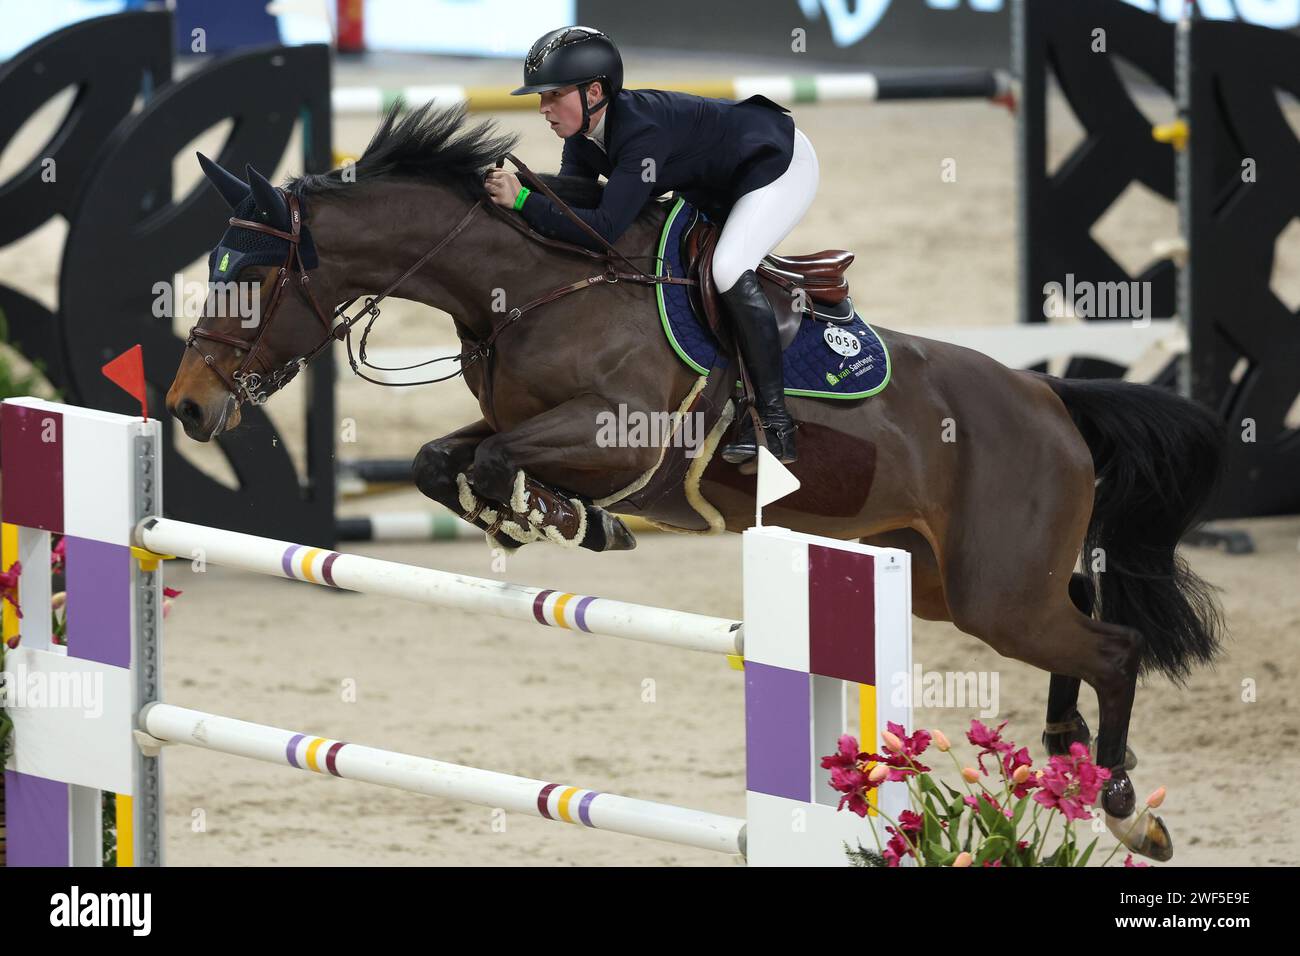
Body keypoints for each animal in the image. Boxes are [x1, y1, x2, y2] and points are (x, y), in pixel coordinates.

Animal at [167, 100, 1222, 863]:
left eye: (250, 279)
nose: (183, 409)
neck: (526, 287)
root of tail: (1050, 397)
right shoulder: (512, 419)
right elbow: (444, 460)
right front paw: (532, 517)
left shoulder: (621, 438)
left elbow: (505, 462)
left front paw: (560, 516)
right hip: (937, 580)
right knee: (1078, 615)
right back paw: (1073, 756)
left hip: (992, 594)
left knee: (1115, 648)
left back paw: (1124, 805)